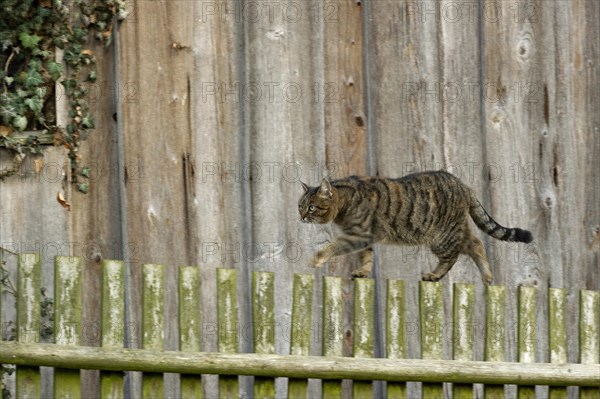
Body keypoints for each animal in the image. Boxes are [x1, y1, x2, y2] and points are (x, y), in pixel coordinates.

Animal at [298, 171, 532, 284]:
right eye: (300, 206)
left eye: (311, 207)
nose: (301, 217)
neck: (345, 204)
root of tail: (464, 185)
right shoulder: (364, 238)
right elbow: (367, 256)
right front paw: (363, 271)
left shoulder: (358, 236)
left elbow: (333, 246)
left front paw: (316, 258)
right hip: (455, 230)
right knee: (476, 244)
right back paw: (487, 276)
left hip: (442, 237)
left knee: (453, 256)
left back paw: (435, 275)